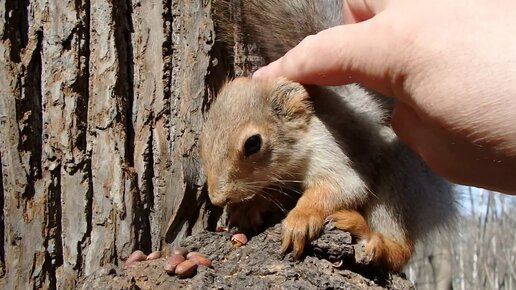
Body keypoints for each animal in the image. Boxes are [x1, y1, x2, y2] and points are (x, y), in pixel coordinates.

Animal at [200, 0, 458, 272]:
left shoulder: (328, 143)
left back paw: (366, 232)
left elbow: (340, 185)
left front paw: (300, 219)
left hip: (402, 176)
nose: (218, 199)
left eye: (253, 143)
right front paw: (251, 205)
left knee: (401, 249)